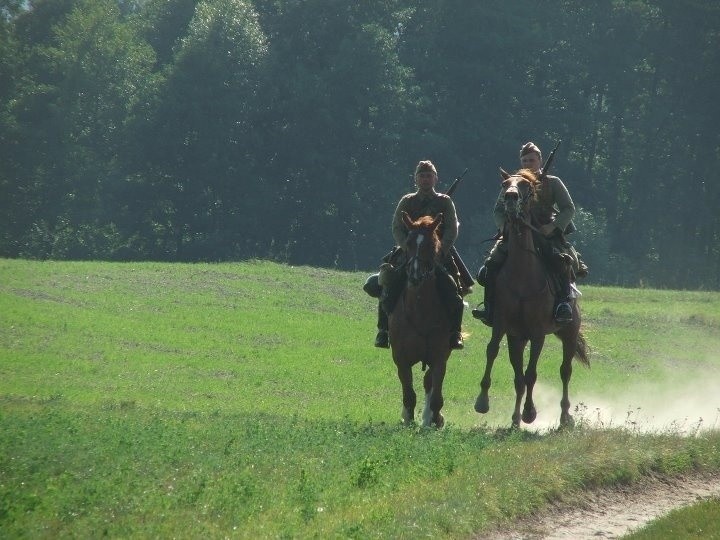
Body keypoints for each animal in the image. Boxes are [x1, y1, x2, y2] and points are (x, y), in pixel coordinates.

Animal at [388, 213, 450, 428]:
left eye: (431, 245)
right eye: (408, 243)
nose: (415, 275)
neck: (420, 311)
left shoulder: (440, 358)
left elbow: (436, 393)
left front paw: (434, 419)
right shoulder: (401, 359)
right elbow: (408, 393)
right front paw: (407, 419)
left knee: (428, 383)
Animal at [476, 169, 588, 426]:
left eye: (526, 186)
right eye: (505, 184)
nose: (510, 198)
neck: (522, 275)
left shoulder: (538, 333)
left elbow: (531, 374)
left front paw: (529, 412)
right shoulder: (506, 329)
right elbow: (494, 353)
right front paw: (484, 402)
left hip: (569, 333)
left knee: (565, 371)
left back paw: (565, 416)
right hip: (520, 338)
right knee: (521, 376)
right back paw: (516, 418)